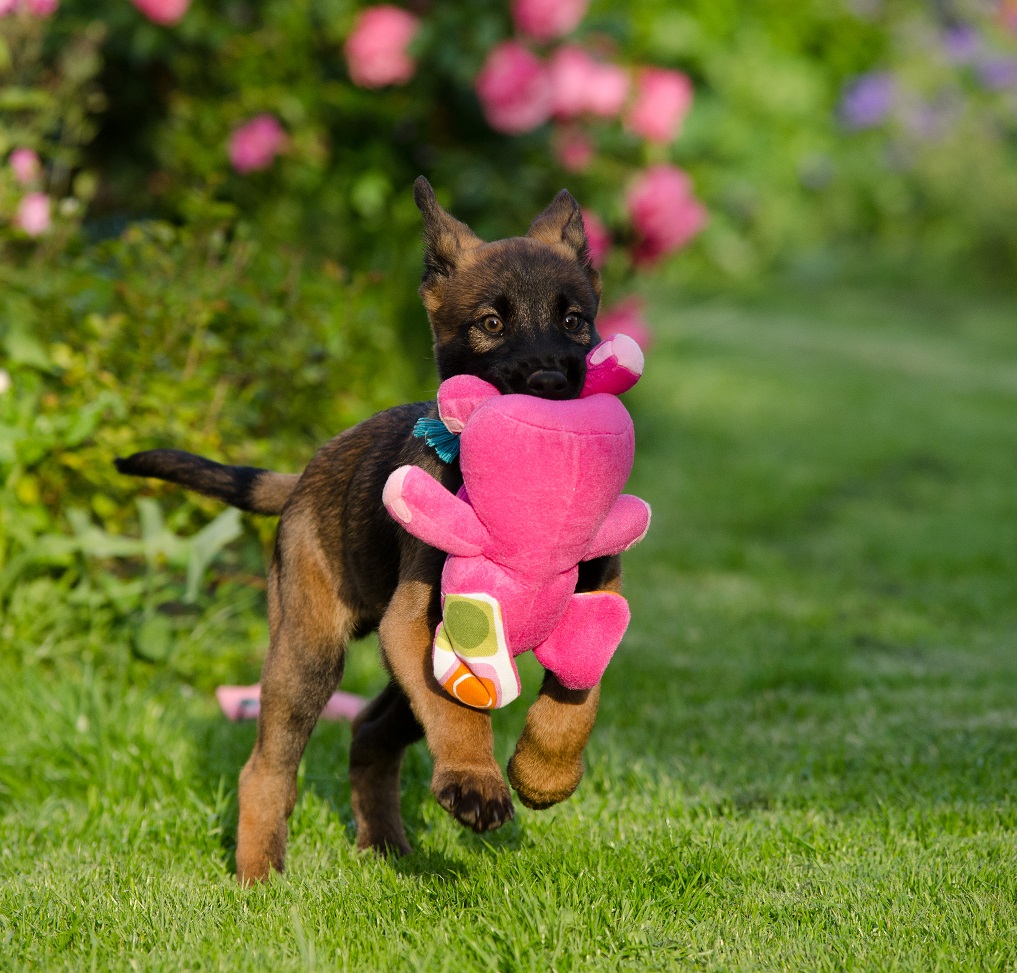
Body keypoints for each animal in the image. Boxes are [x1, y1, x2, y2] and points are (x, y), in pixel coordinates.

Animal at [120, 174, 626, 882]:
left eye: (575, 321)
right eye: (491, 325)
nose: (552, 382)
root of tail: (304, 476)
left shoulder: (593, 599)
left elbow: (579, 697)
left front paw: (542, 772)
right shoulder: (417, 622)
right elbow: (456, 708)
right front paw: (476, 781)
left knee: (370, 732)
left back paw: (384, 842)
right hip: (308, 651)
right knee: (267, 766)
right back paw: (258, 875)